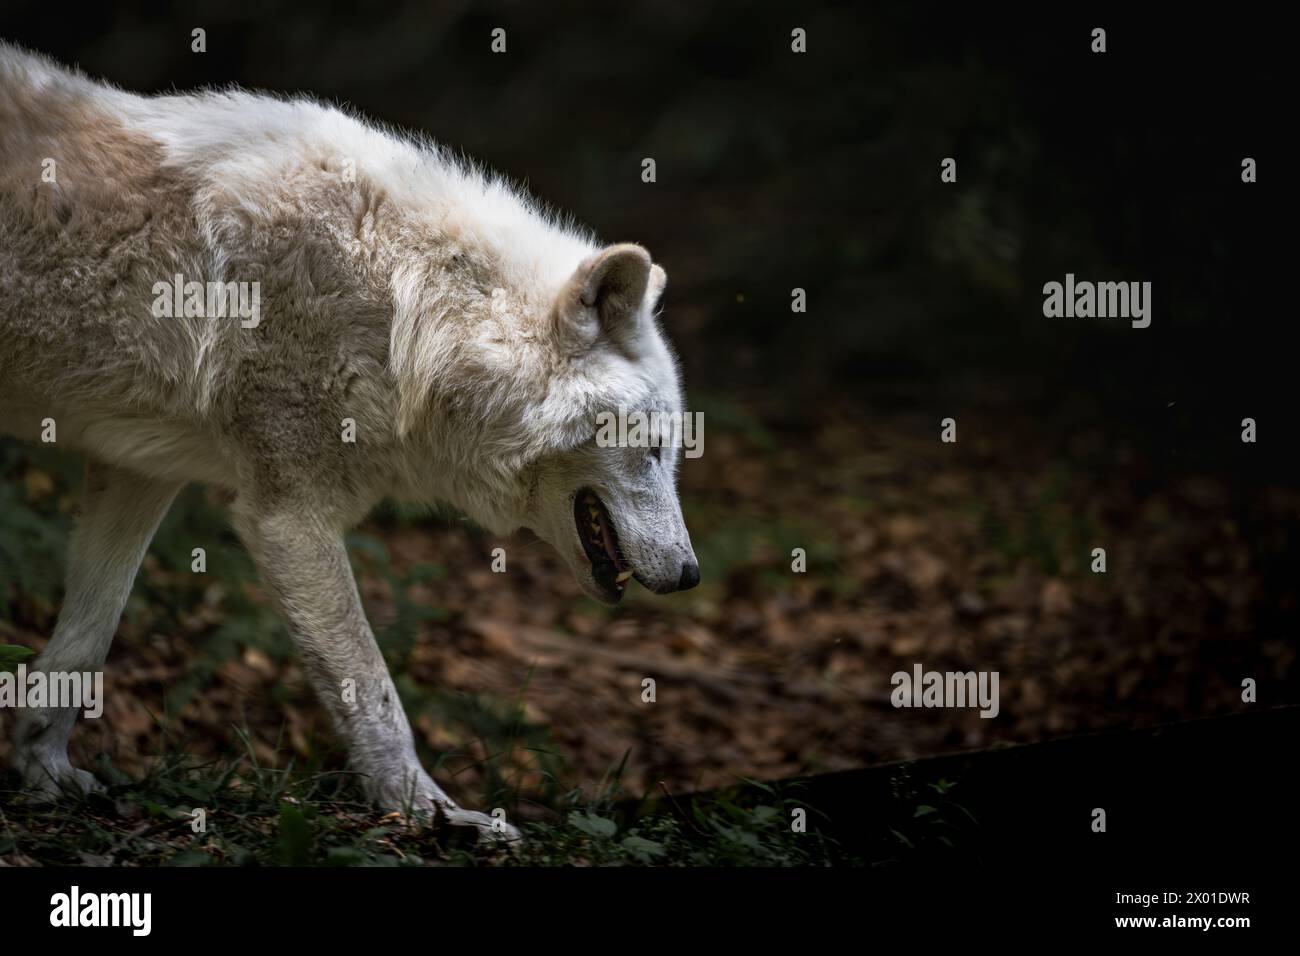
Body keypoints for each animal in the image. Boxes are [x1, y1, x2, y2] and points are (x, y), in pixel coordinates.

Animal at [0, 42, 702, 842]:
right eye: (651, 445)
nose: (691, 575)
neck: (411, 307)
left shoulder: (137, 471)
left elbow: (85, 640)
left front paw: (43, 772)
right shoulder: (288, 518)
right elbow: (373, 690)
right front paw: (430, 814)